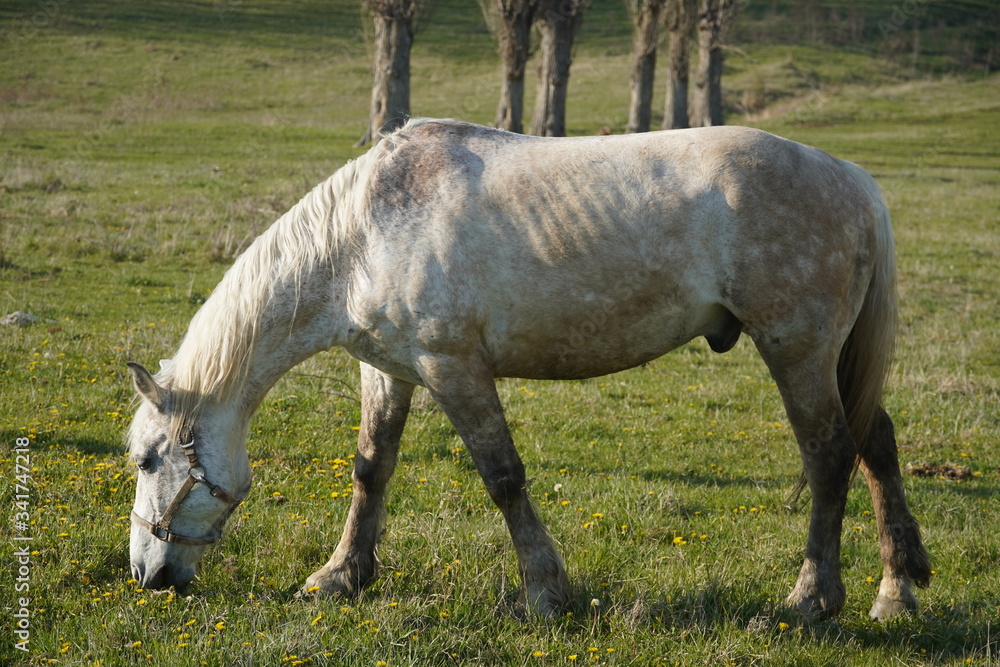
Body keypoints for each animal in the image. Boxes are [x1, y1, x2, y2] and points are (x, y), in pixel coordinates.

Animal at [125, 118, 929, 620]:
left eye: (145, 459)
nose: (146, 574)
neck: (359, 237)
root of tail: (851, 177)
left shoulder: (453, 368)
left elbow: (503, 477)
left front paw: (547, 592)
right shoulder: (389, 372)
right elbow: (370, 469)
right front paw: (341, 577)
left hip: (795, 347)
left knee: (829, 456)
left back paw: (812, 599)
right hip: (831, 356)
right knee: (877, 445)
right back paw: (898, 590)